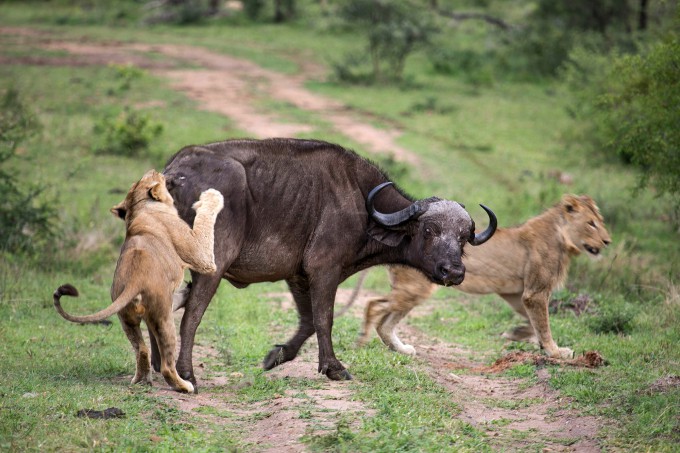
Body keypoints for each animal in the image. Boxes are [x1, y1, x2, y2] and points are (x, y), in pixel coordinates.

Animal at [54, 170, 223, 392]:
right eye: (153, 176)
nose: (156, 170)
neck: (140, 207)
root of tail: (135, 280)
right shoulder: (200, 254)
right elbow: (205, 222)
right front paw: (212, 196)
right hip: (163, 318)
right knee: (167, 365)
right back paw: (185, 386)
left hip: (126, 318)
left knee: (142, 349)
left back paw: (141, 380)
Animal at [159, 136, 496, 386]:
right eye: (428, 230)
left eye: (464, 238)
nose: (453, 271)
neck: (363, 203)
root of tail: (174, 173)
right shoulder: (324, 269)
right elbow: (325, 318)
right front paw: (334, 367)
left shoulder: (297, 276)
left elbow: (308, 321)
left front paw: (276, 356)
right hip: (210, 266)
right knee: (191, 315)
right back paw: (186, 375)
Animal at [362, 192, 612, 358]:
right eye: (591, 224)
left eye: (600, 222)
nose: (607, 241)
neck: (562, 238)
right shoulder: (536, 292)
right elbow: (544, 323)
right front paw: (555, 351)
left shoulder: (516, 293)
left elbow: (532, 321)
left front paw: (518, 334)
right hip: (416, 288)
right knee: (374, 306)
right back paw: (362, 342)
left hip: (413, 291)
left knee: (385, 321)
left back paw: (401, 349)